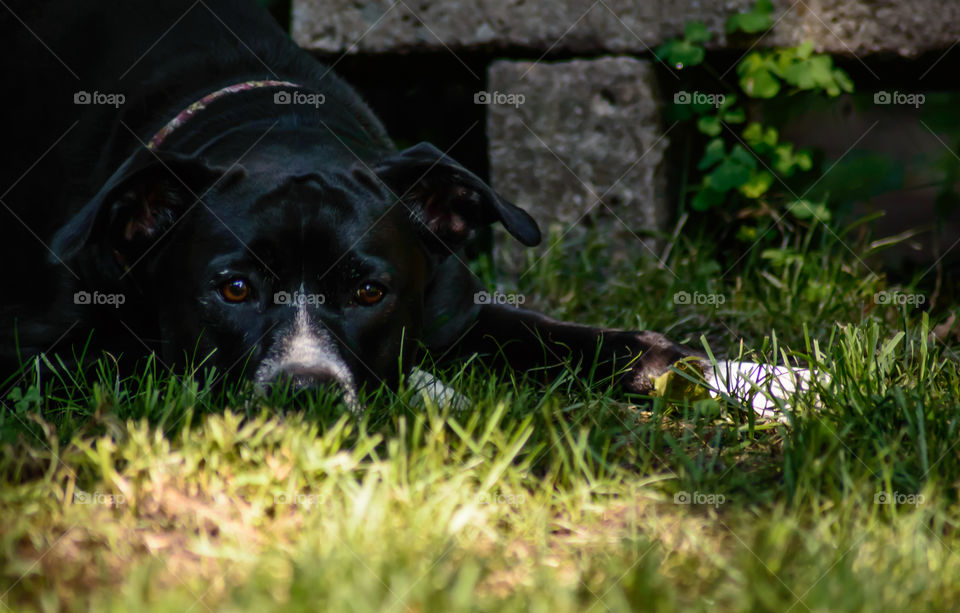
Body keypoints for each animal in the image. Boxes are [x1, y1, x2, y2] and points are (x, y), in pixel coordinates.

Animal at [0, 1, 700, 406]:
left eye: (369, 293)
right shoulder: (40, 346)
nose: (307, 392)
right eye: (233, 289)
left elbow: (538, 330)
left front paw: (663, 360)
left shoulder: (456, 310)